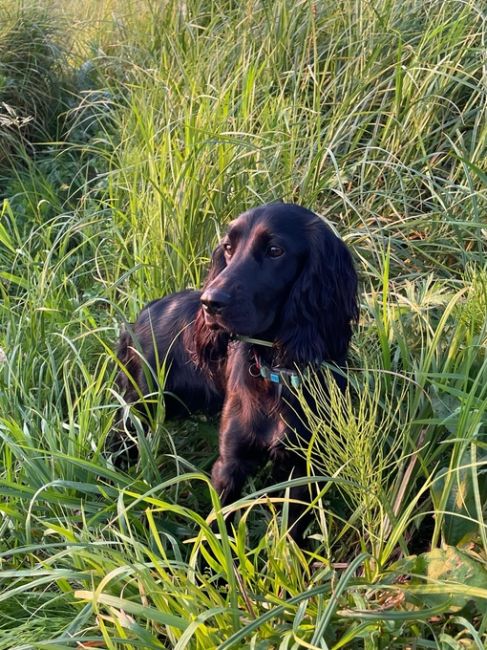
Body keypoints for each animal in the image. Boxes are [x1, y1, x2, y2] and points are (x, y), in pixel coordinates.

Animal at [116, 202, 356, 540]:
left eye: (274, 250)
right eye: (228, 248)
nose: (210, 302)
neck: (276, 374)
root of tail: (144, 312)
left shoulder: (304, 467)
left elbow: (292, 529)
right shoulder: (230, 464)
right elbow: (219, 529)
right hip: (139, 405)